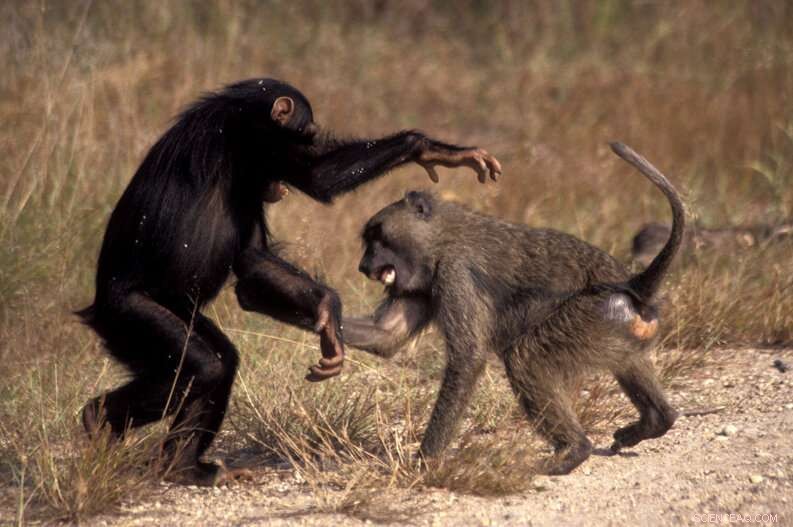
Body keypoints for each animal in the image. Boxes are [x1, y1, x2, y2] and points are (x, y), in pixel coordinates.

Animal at [77, 78, 502, 485]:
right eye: (306, 133)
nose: (279, 187)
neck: (242, 113)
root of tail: (96, 309)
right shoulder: (258, 146)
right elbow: (318, 177)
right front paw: (428, 148)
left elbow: (251, 257)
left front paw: (326, 311)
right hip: (132, 316)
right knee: (201, 367)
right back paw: (99, 418)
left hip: (175, 316)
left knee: (221, 363)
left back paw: (184, 466)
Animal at [342, 142, 684, 475]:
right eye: (369, 239)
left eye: (378, 237)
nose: (363, 266)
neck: (441, 237)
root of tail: (632, 284)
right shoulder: (419, 285)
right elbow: (386, 335)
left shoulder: (455, 271)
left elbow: (468, 357)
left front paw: (426, 461)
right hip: (616, 328)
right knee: (629, 363)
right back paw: (657, 420)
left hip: (589, 317)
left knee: (525, 360)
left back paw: (573, 452)